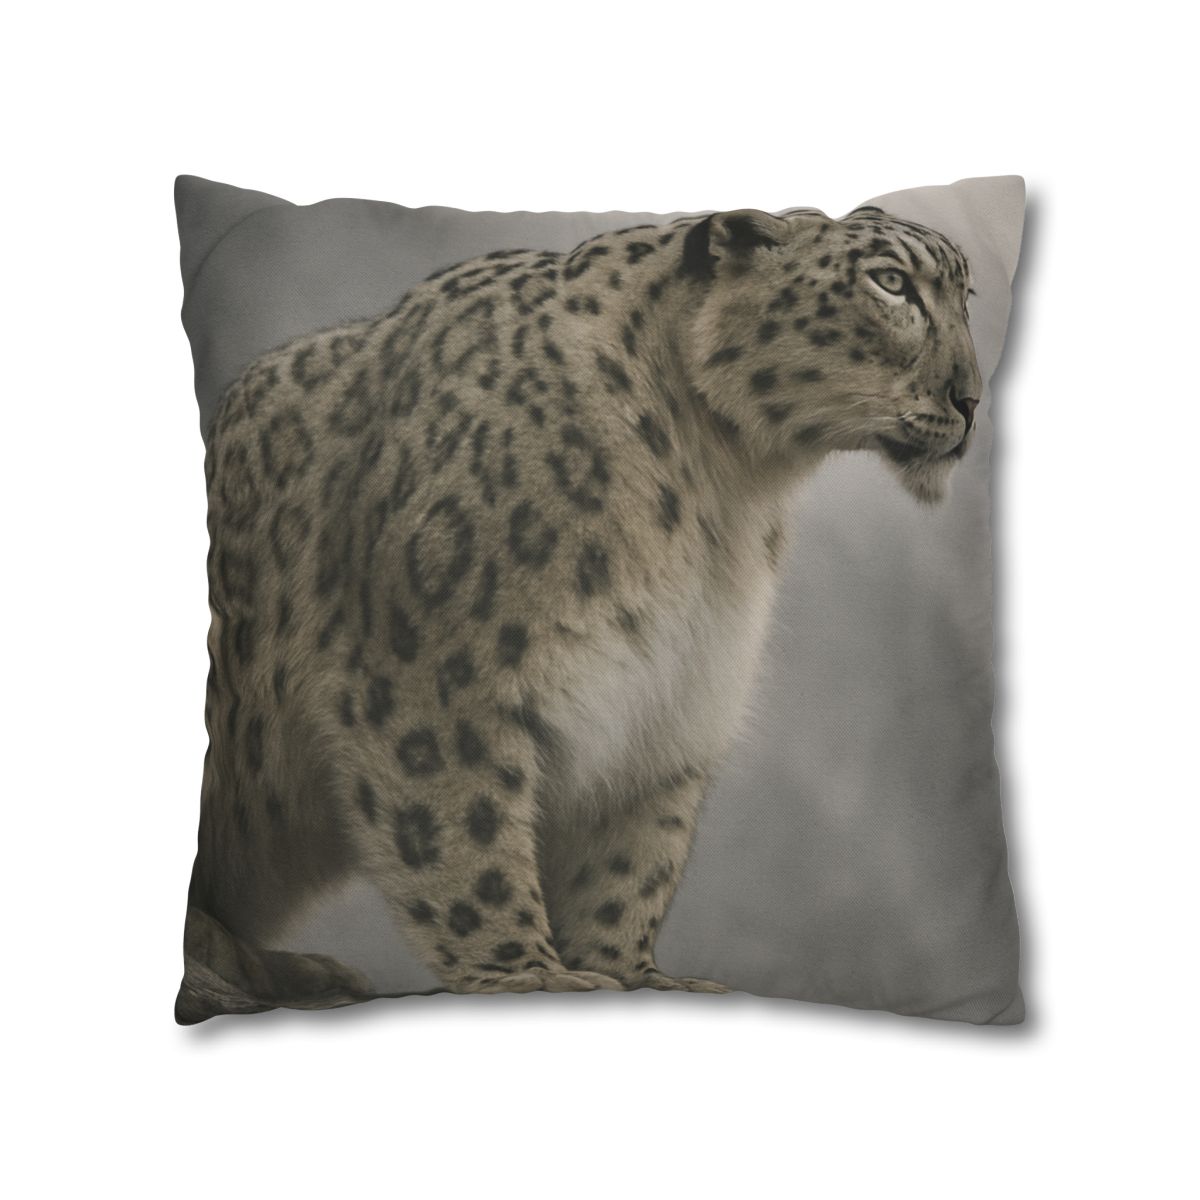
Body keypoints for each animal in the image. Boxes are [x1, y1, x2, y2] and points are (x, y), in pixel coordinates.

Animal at [177, 204, 981, 1022]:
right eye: (891, 283)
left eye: (966, 296)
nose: (972, 399)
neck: (720, 489)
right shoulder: (431, 679)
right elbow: (465, 832)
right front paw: (526, 972)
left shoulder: (670, 700)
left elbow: (632, 861)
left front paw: (628, 972)